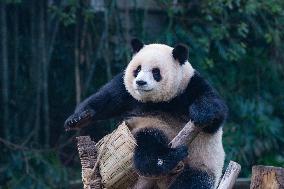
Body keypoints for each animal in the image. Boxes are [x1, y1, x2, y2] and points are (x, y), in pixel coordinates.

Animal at [65, 38, 229, 189]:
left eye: (156, 72)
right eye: (137, 69)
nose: (140, 82)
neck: (158, 101)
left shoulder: (189, 85)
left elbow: (213, 110)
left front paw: (201, 113)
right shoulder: (126, 90)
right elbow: (106, 99)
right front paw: (77, 119)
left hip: (202, 165)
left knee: (193, 181)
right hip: (152, 126)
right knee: (148, 144)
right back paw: (167, 158)